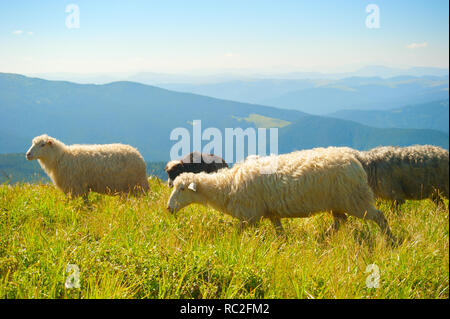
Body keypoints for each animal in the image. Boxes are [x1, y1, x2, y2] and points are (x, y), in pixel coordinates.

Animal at [166, 148, 394, 240]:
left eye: (182, 189)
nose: (168, 208)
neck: (227, 186)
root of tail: (356, 161)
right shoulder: (271, 213)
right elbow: (280, 233)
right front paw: (283, 245)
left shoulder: (250, 217)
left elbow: (238, 233)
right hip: (339, 202)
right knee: (340, 221)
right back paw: (323, 237)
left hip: (356, 199)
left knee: (379, 217)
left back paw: (390, 240)